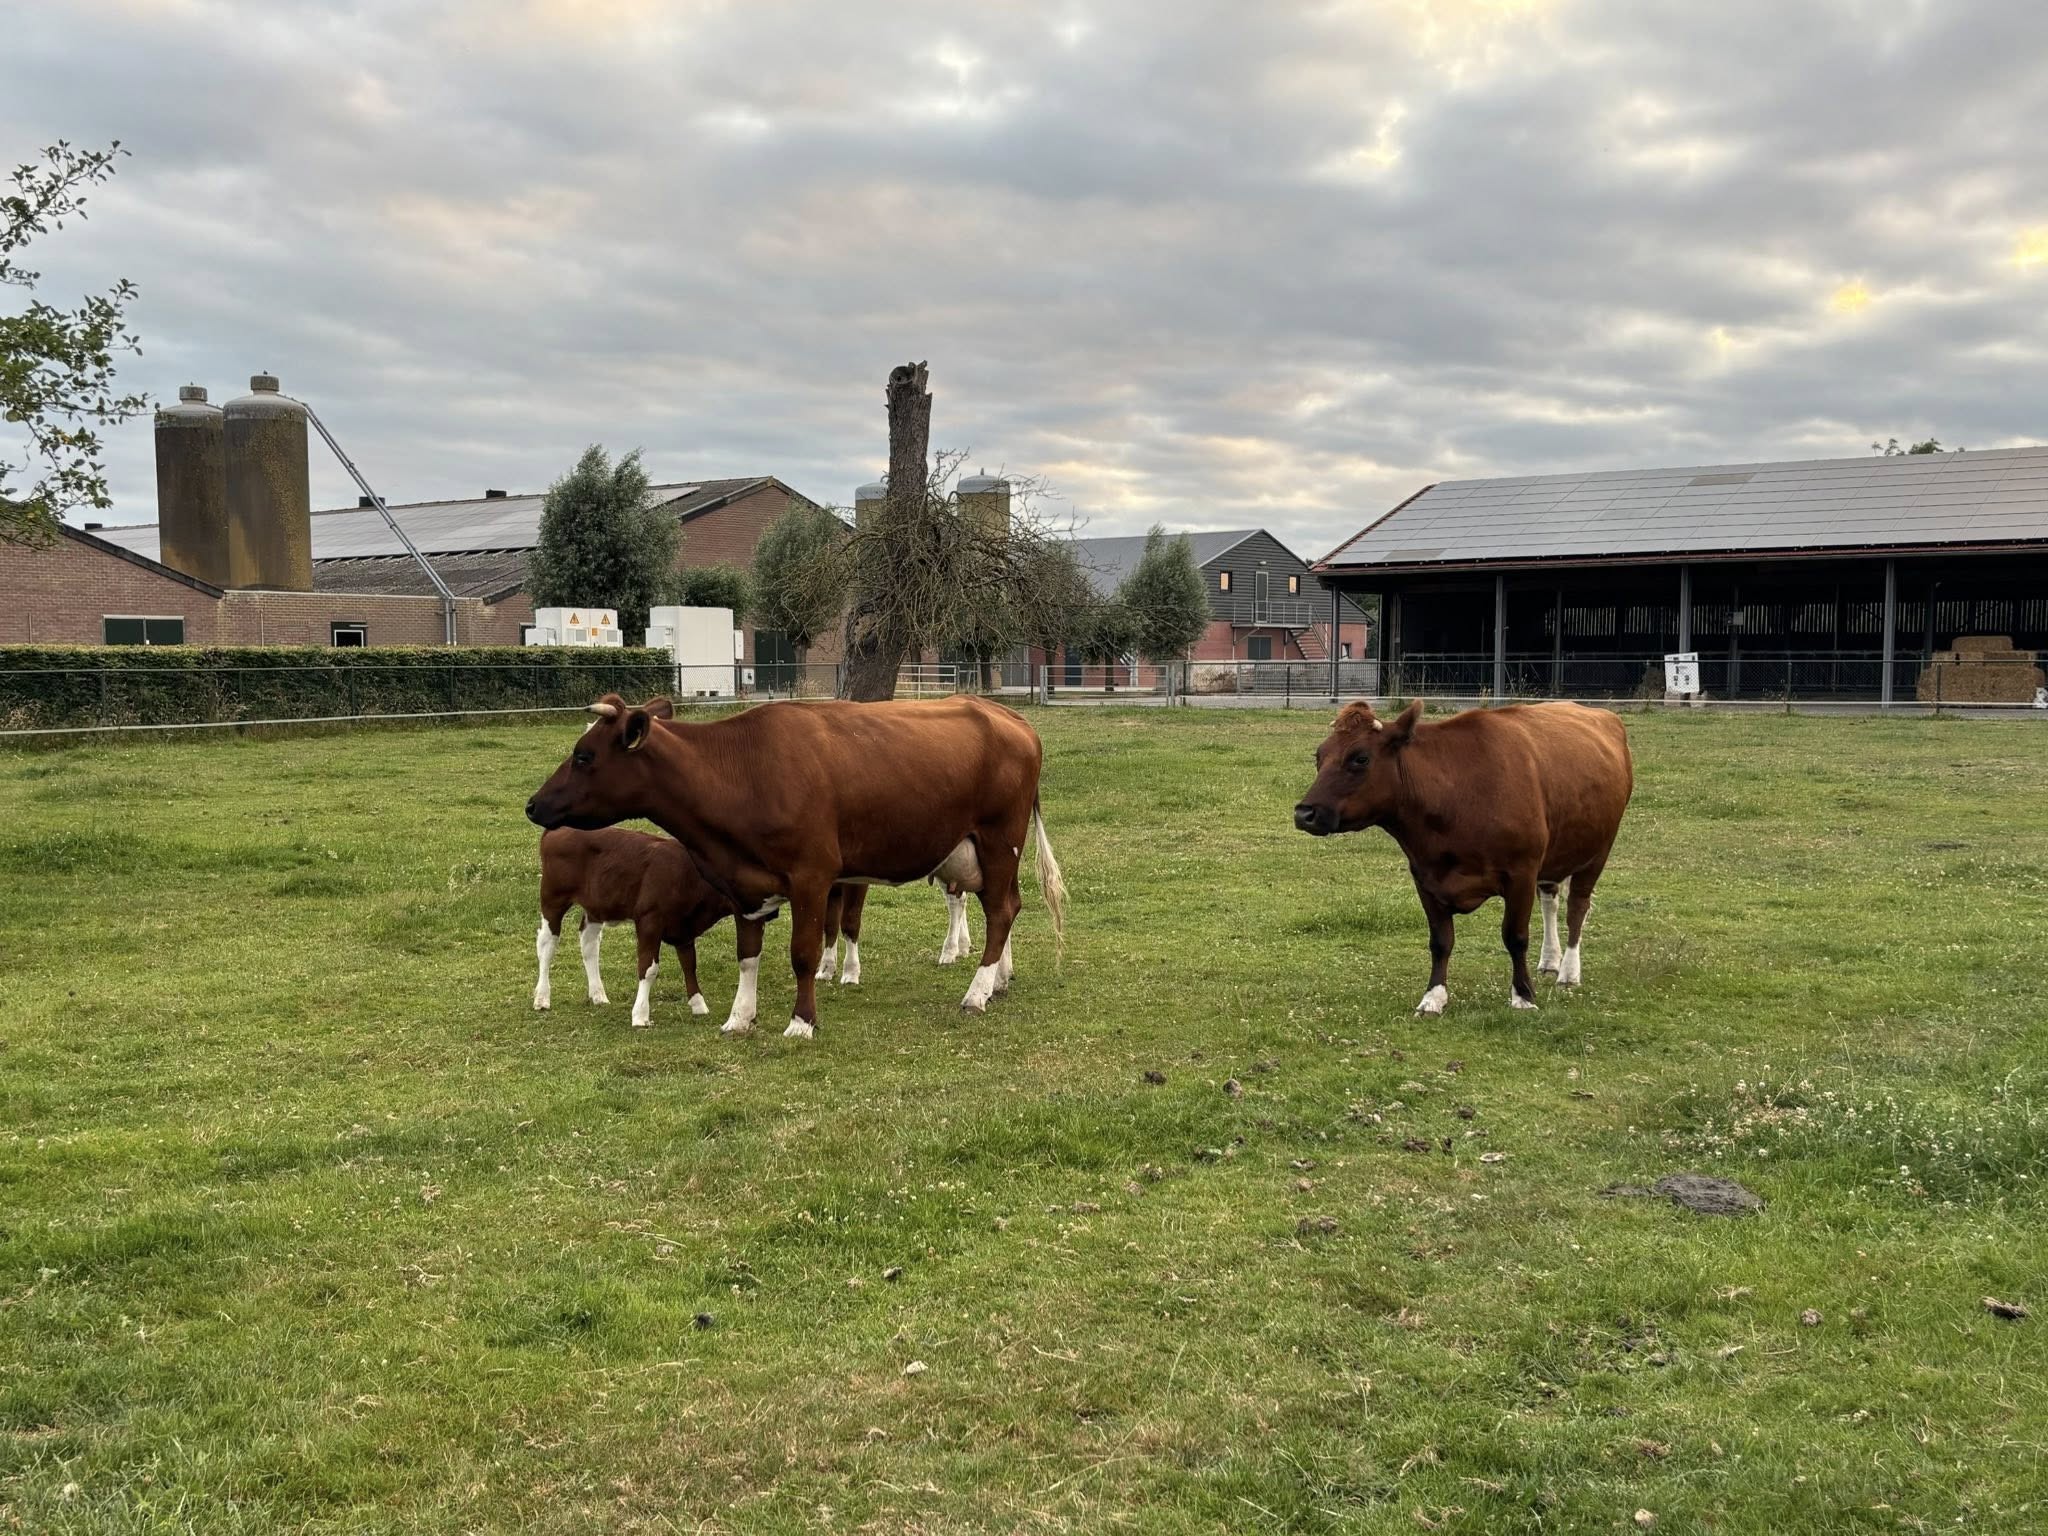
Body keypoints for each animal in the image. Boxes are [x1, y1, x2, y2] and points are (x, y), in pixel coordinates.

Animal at [534, 825, 767, 1027]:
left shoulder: (684, 927)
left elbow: (689, 964)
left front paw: (698, 1005)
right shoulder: (649, 921)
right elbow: (648, 968)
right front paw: (640, 1015)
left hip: (596, 906)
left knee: (589, 943)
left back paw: (598, 995)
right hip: (552, 898)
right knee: (547, 944)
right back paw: (542, 997)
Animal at [1292, 699, 1632, 1015]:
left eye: (1360, 758)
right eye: (1319, 757)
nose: (1304, 813)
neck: (1456, 794)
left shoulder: (1521, 872)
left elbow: (1515, 936)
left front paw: (1523, 996)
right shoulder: (1425, 876)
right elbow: (1440, 940)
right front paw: (1433, 997)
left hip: (1598, 850)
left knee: (1577, 908)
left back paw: (1569, 972)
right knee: (1551, 899)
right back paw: (1550, 960)